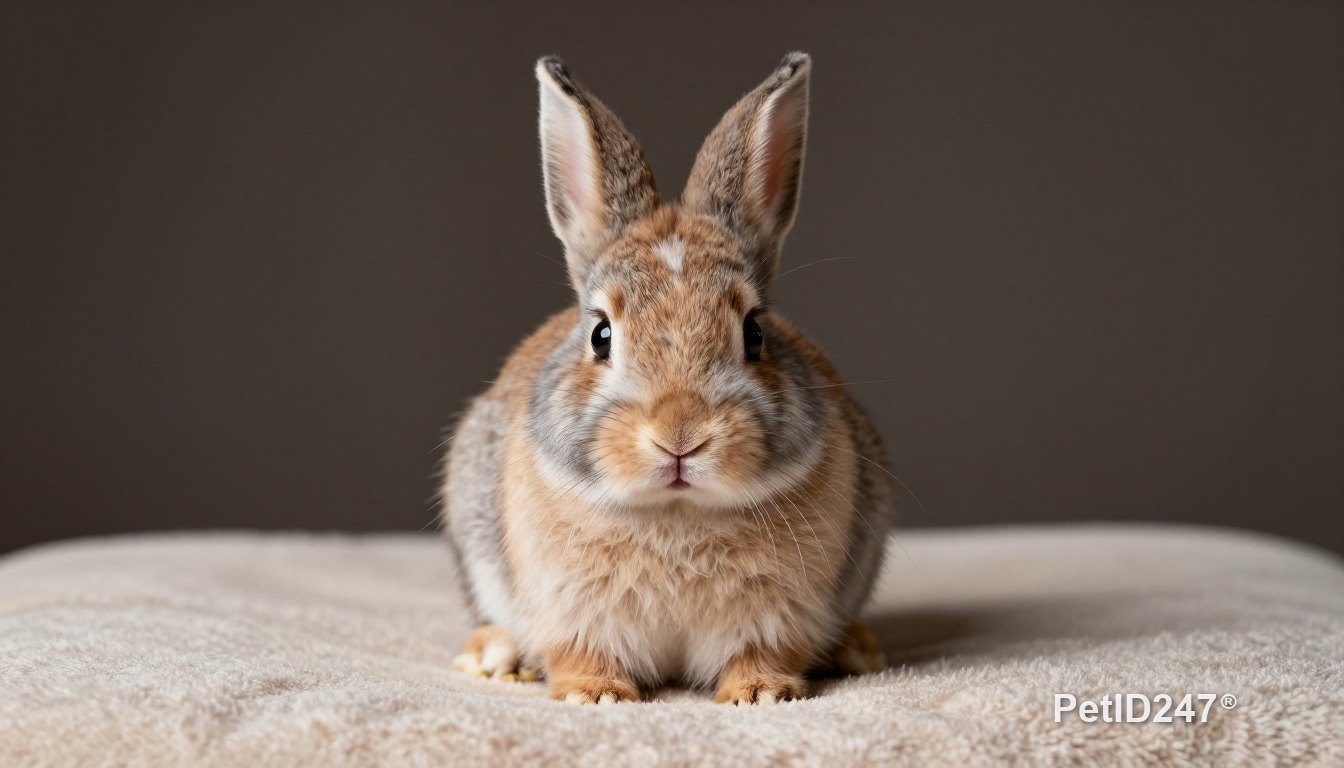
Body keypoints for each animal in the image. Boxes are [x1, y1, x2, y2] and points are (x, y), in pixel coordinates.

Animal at [440, 52, 895, 705]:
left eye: (755, 332)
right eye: (601, 335)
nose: (680, 437)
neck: (677, 512)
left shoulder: (781, 616)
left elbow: (764, 653)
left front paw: (761, 694)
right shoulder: (570, 612)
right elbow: (579, 654)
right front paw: (595, 695)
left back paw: (860, 650)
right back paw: (492, 657)